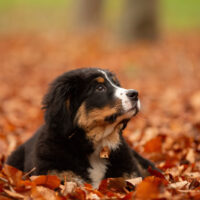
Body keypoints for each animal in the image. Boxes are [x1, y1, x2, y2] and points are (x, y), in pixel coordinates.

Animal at [6, 67, 161, 188]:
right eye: (100, 88)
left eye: (116, 84)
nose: (135, 93)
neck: (97, 147)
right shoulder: (56, 174)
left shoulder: (129, 175)